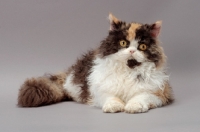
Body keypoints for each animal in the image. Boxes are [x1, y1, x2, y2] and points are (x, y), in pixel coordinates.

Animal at [17, 13, 173, 113]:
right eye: (123, 43)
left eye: (142, 46)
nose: (132, 51)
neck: (128, 70)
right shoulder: (99, 90)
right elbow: (111, 97)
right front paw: (114, 107)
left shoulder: (159, 93)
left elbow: (141, 96)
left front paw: (133, 106)